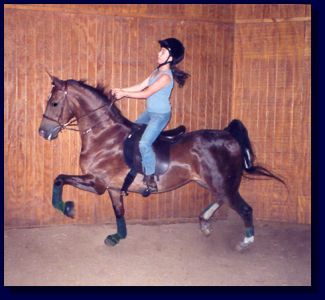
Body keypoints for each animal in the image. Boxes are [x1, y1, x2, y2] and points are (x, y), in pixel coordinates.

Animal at [38, 74, 284, 251]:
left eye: (55, 103)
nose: (42, 132)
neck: (104, 135)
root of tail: (228, 136)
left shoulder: (96, 183)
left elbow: (59, 179)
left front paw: (66, 207)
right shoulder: (113, 188)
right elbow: (119, 212)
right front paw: (118, 236)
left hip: (222, 182)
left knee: (244, 208)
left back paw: (245, 242)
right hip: (210, 182)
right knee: (222, 199)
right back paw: (205, 222)